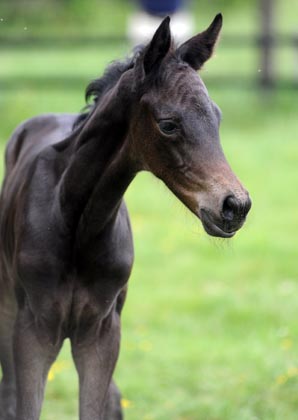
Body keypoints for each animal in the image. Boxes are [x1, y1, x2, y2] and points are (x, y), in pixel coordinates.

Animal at [0, 14, 251, 418]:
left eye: (217, 117)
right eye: (168, 124)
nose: (235, 205)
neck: (77, 222)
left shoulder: (103, 331)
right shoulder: (33, 328)